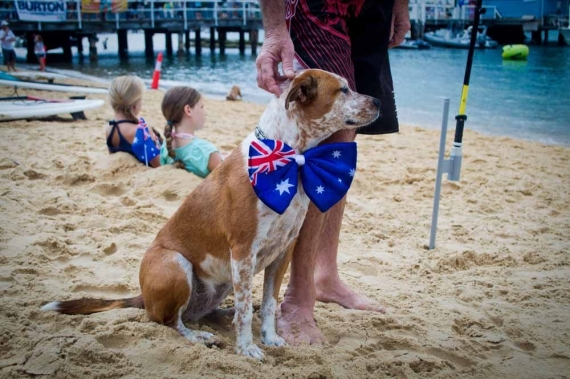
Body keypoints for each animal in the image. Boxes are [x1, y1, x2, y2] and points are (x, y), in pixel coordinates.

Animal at [40, 70, 378, 360]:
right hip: (175, 264)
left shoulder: (283, 251)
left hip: (221, 282)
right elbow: (245, 310)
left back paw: (222, 316)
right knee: (168, 321)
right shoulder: (243, 251)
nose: (378, 101)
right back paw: (199, 335)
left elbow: (270, 303)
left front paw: (269, 338)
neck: (290, 157)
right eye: (343, 89)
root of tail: (143, 297)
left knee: (203, 311)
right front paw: (247, 348)